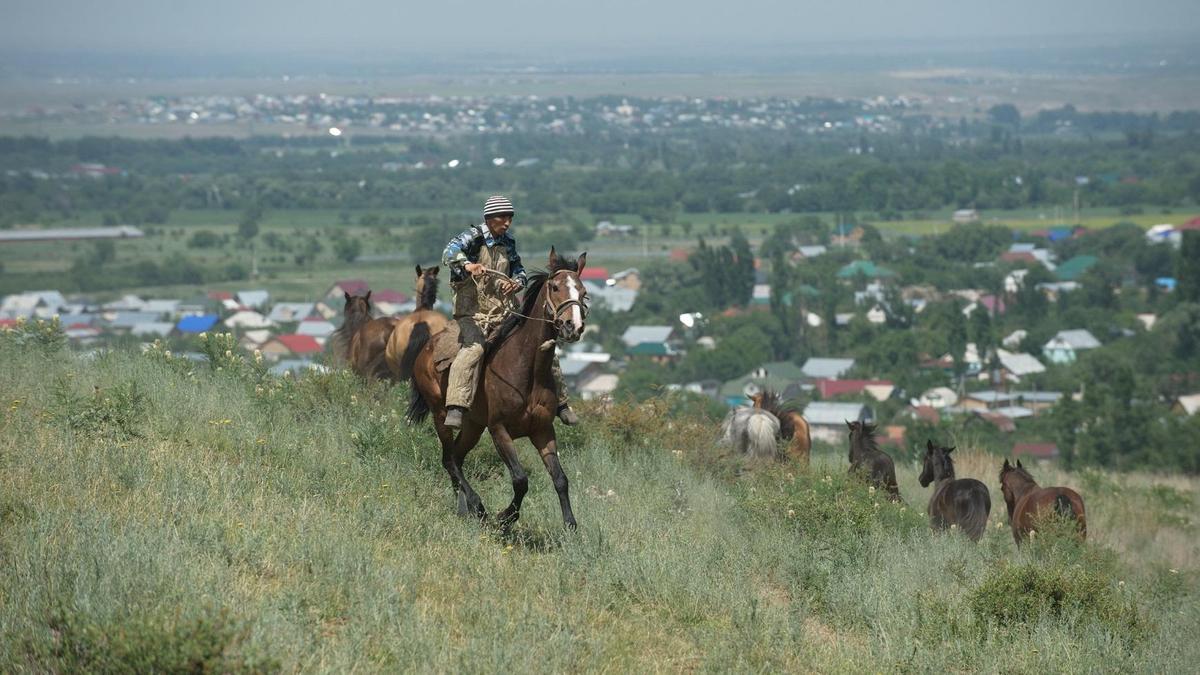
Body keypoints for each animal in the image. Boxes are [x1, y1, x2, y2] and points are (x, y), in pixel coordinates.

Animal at [405, 247, 588, 526]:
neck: (526, 369)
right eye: (555, 287)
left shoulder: (543, 431)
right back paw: (477, 506)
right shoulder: (499, 430)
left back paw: (464, 508)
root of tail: (425, 349)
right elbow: (521, 479)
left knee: (456, 457)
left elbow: (560, 479)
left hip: (473, 425)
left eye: (583, 291)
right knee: (448, 459)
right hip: (441, 415)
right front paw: (504, 518)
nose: (573, 326)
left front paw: (570, 524)